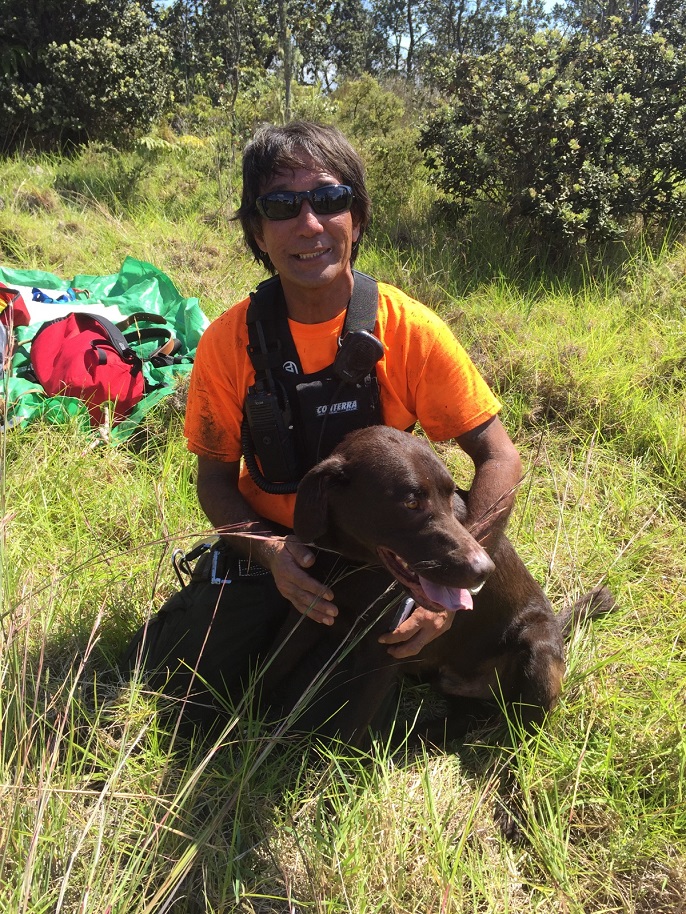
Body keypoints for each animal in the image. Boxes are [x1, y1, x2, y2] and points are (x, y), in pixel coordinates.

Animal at [262, 424, 612, 744]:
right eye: (411, 503)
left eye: (449, 496)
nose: (484, 569)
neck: (352, 564)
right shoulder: (306, 613)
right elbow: (270, 668)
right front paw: (251, 724)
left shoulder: (385, 651)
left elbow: (351, 727)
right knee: (466, 717)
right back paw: (411, 737)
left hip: (537, 652)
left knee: (520, 730)